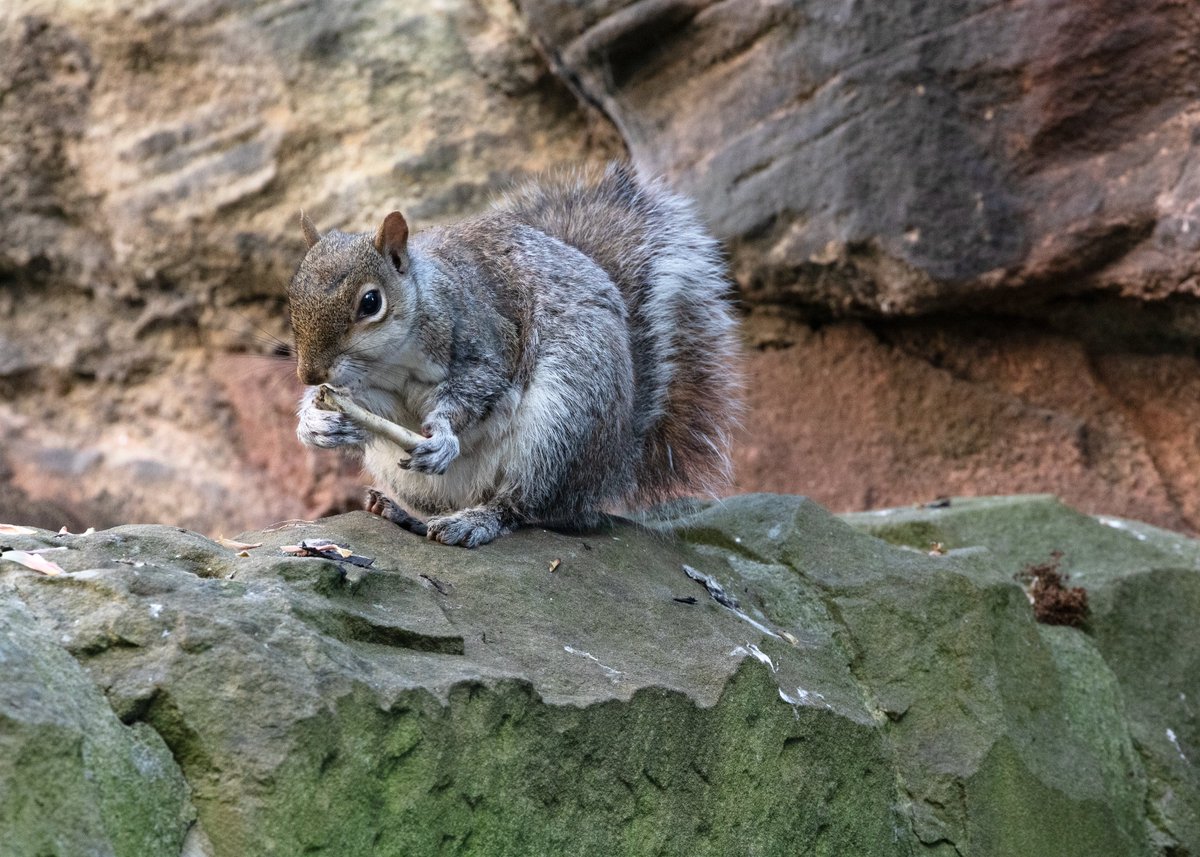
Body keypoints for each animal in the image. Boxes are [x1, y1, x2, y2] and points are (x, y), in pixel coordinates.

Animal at [288, 163, 742, 547]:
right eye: (292, 293)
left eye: (370, 302)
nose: (309, 374)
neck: (390, 361)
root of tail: (614, 464)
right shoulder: (372, 388)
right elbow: (374, 409)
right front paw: (318, 422)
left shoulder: (489, 337)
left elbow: (479, 387)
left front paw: (443, 437)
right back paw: (402, 513)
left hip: (562, 424)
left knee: (523, 507)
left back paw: (474, 521)